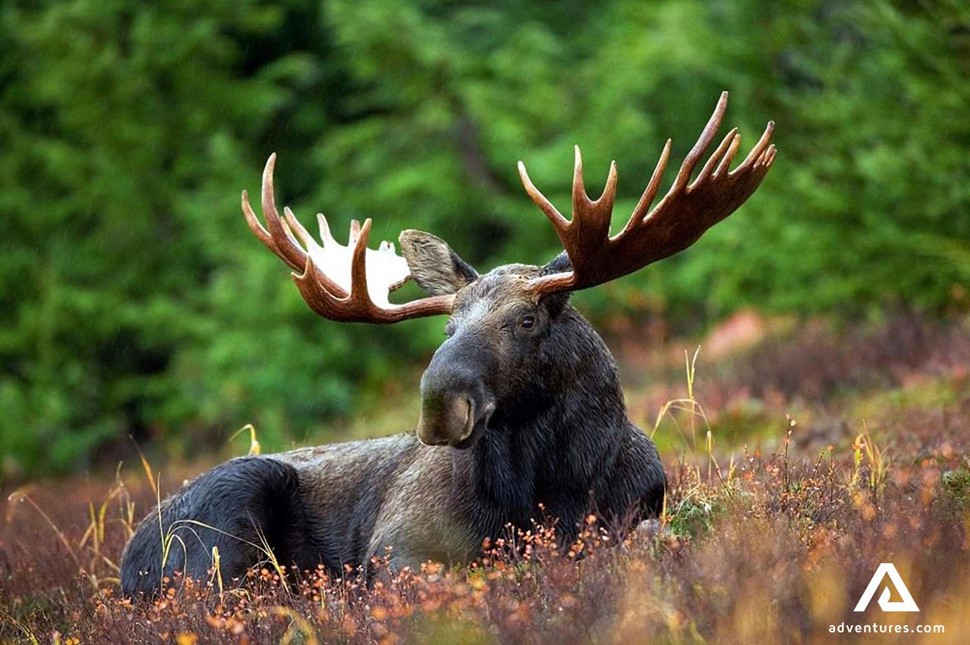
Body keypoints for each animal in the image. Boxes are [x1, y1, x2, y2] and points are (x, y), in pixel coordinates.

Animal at [119, 93, 772, 596]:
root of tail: (126, 565)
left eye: (526, 320)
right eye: (447, 328)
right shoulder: (397, 547)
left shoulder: (639, 511)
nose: (439, 404)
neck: (552, 487)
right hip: (229, 514)